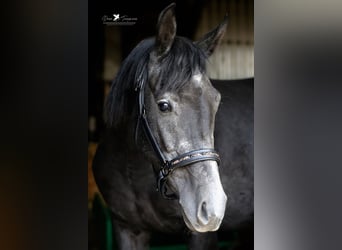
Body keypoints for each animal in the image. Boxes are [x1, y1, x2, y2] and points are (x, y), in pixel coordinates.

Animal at [92, 3, 252, 250]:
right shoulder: (127, 228)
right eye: (164, 106)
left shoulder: (201, 235)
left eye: (216, 101)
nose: (212, 207)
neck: (134, 170)